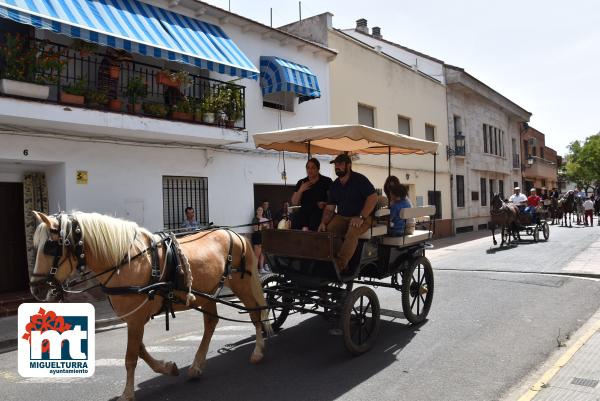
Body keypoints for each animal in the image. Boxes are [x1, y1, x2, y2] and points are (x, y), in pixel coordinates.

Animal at [30, 211, 270, 398]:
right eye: (35, 246)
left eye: (50, 247)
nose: (36, 288)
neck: (126, 261)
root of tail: (236, 234)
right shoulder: (134, 318)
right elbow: (140, 350)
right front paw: (167, 368)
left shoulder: (136, 319)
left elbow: (131, 357)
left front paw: (127, 393)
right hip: (207, 294)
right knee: (211, 323)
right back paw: (196, 366)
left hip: (242, 285)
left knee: (256, 314)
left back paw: (258, 350)